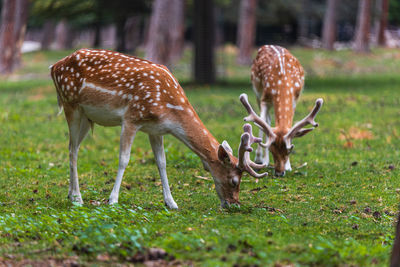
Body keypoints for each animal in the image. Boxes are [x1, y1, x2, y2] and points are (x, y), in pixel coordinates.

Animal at [49, 49, 266, 210]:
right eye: (234, 181)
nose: (234, 204)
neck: (168, 108)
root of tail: (54, 66)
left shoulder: (156, 130)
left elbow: (162, 162)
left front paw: (171, 202)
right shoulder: (131, 118)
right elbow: (124, 159)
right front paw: (113, 200)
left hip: (87, 118)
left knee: (73, 148)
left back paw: (70, 194)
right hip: (71, 105)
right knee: (72, 149)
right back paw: (77, 198)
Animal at [242, 45, 324, 177]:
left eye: (289, 150)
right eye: (271, 149)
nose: (279, 173)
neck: (283, 82)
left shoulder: (295, 98)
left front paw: (289, 166)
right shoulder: (264, 98)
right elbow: (262, 124)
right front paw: (259, 160)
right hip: (257, 91)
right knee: (266, 120)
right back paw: (263, 160)